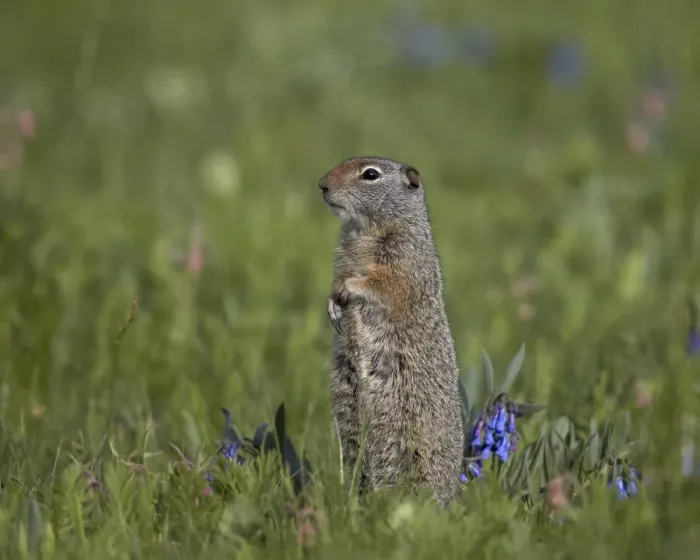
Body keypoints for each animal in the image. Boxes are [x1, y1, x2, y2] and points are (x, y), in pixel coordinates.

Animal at [318, 156, 463, 507]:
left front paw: (348, 289)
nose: (322, 185)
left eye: (370, 174)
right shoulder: (343, 256)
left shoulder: (403, 257)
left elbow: (385, 283)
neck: (363, 230)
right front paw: (332, 305)